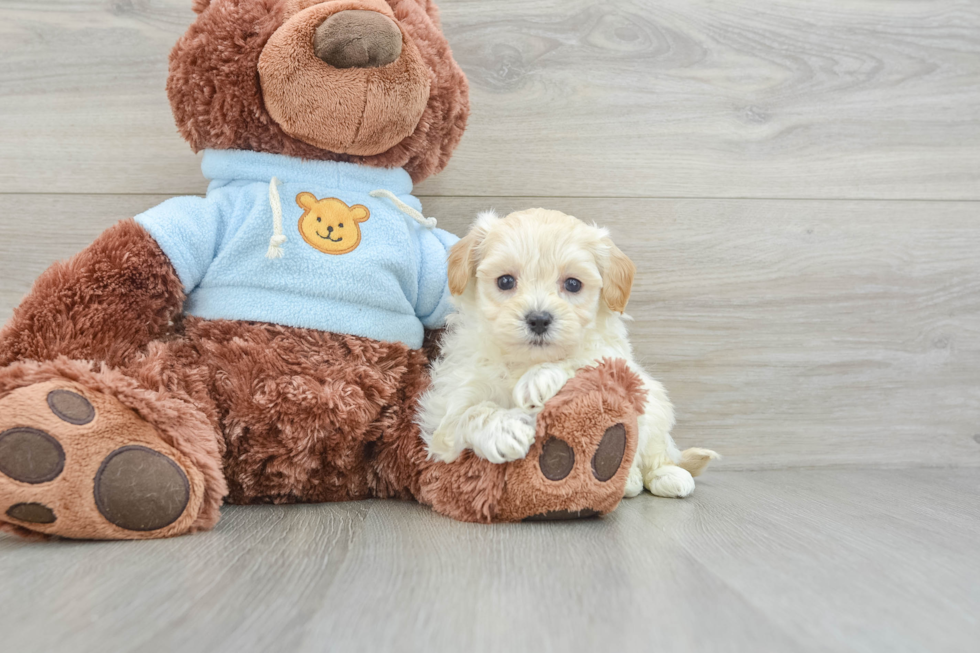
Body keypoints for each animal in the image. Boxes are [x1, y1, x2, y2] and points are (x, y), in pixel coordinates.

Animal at [418, 206, 716, 496]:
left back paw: (661, 475)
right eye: (505, 281)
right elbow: (469, 414)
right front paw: (503, 429)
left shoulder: (617, 364)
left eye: (573, 284)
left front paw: (539, 379)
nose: (539, 319)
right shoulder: (446, 415)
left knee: (654, 449)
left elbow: (581, 361)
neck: (524, 361)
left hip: (655, 405)